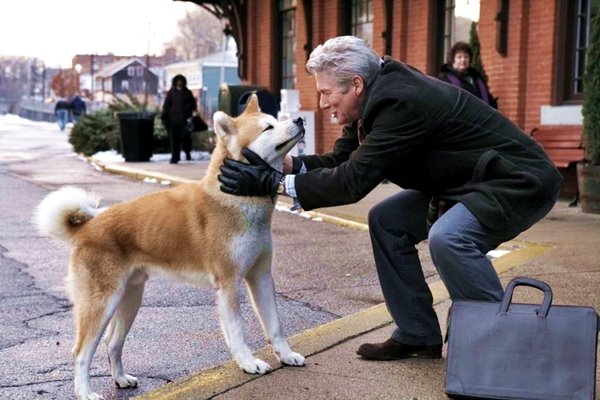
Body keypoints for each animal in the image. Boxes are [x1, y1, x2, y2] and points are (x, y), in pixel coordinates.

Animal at [34, 94, 304, 400]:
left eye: (276, 120)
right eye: (268, 127)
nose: (299, 119)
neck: (237, 198)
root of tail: (87, 227)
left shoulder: (260, 277)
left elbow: (275, 325)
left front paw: (286, 355)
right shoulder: (229, 283)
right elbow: (238, 331)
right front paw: (248, 363)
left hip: (129, 299)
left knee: (112, 343)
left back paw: (121, 378)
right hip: (101, 303)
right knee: (81, 352)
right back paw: (86, 393)